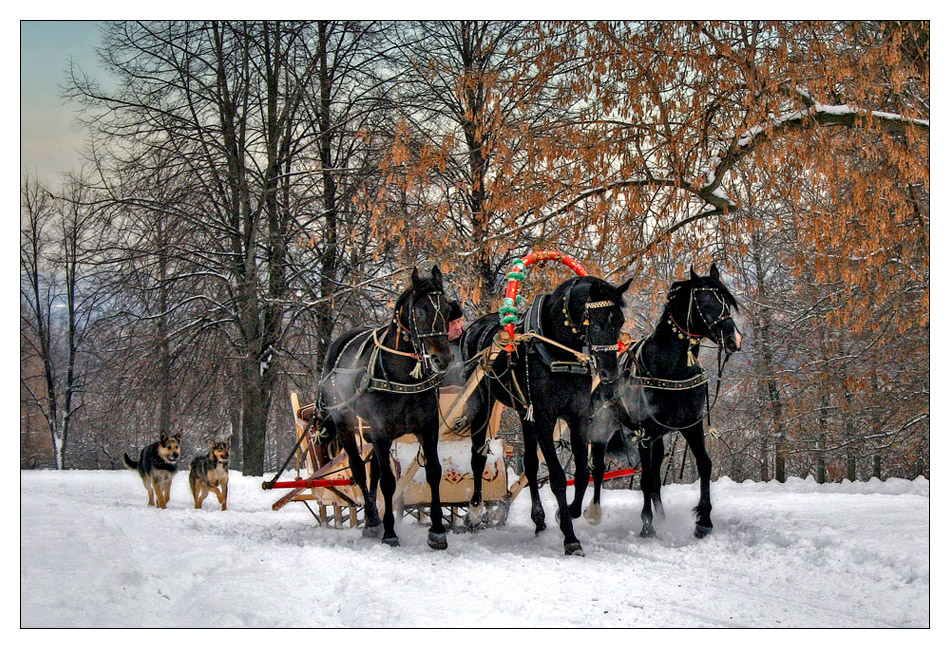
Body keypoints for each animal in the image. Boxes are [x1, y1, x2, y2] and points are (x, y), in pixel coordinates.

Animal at [318, 266, 456, 548]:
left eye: (447, 310)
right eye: (421, 311)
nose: (442, 359)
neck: (402, 375)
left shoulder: (428, 428)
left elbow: (434, 472)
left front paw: (437, 531)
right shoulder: (381, 432)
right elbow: (388, 482)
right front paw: (390, 532)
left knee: (372, 471)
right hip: (346, 424)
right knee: (359, 469)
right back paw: (372, 520)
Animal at [458, 272, 628, 552]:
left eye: (620, 321)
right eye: (597, 322)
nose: (609, 372)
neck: (559, 352)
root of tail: (473, 328)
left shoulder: (577, 417)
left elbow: (582, 473)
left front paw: (567, 512)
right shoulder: (545, 418)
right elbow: (558, 477)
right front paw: (570, 537)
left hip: (525, 412)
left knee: (529, 463)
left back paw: (538, 520)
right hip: (483, 402)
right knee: (477, 456)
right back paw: (474, 512)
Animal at [588, 262, 744, 536]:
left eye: (726, 302)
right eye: (705, 304)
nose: (733, 339)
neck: (670, 368)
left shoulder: (690, 426)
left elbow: (703, 464)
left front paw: (704, 520)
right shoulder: (644, 433)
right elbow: (646, 479)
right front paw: (647, 526)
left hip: (659, 440)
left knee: (656, 479)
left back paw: (661, 517)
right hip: (602, 432)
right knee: (597, 471)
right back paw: (593, 513)